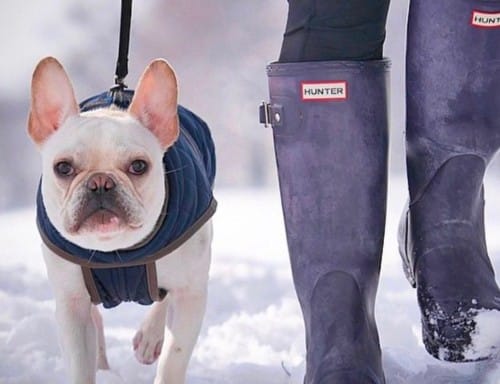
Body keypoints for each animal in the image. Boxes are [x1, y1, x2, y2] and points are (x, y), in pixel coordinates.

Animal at [27, 57, 215, 384]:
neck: (116, 253)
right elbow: (80, 363)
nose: (100, 182)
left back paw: (150, 337)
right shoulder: (71, 303)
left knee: (162, 300)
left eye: (139, 166)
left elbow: (174, 358)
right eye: (63, 168)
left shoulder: (191, 293)